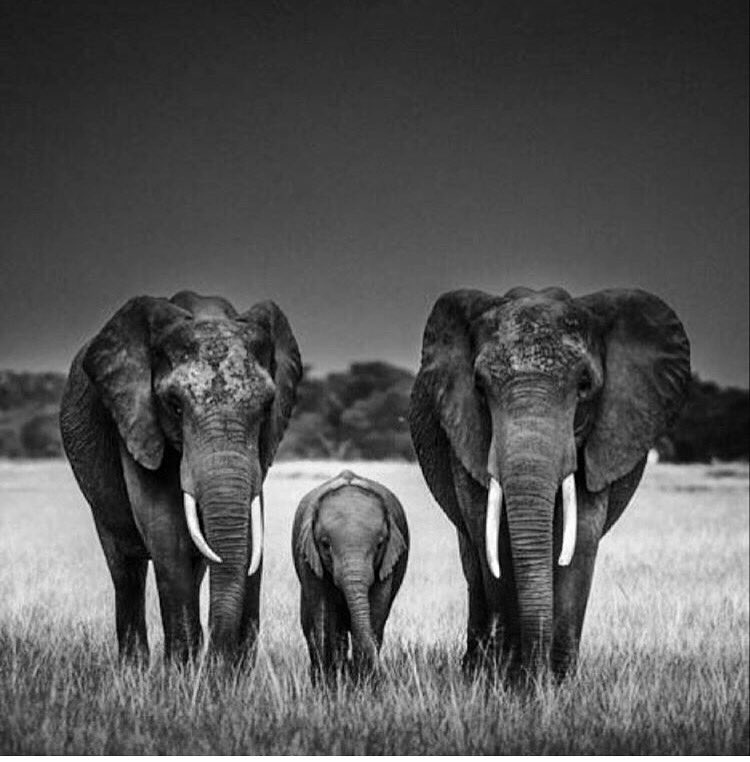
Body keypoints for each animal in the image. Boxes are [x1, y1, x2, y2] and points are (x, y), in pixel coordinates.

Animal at [59, 291, 301, 663]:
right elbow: (166, 533)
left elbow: (246, 537)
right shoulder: (136, 422)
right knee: (125, 570)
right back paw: (134, 668)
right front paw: (182, 671)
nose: (221, 662)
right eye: (174, 406)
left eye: (266, 407)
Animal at [292, 470, 409, 681]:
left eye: (380, 545)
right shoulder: (308, 557)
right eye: (325, 545)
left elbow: (377, 608)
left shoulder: (388, 561)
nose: (382, 672)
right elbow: (323, 612)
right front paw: (330, 682)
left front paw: (362, 681)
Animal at [409, 287, 690, 677]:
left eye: (584, 386)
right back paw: (475, 669)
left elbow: (581, 536)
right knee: (473, 558)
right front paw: (509, 677)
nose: (534, 671)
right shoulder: (464, 432)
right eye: (479, 387)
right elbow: (490, 535)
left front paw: (555, 681)